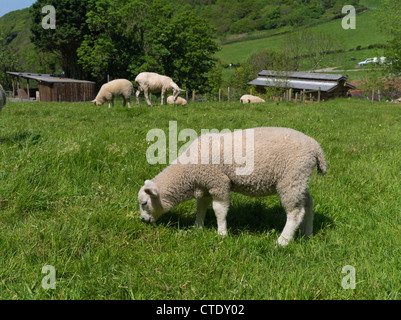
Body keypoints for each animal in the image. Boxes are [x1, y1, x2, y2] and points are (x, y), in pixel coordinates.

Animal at [138, 126, 324, 246]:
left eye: (144, 203)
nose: (143, 221)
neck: (188, 171)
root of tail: (316, 147)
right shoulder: (205, 184)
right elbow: (201, 207)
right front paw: (197, 228)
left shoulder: (218, 182)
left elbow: (219, 209)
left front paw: (221, 234)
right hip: (299, 180)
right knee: (308, 204)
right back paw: (307, 233)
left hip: (291, 179)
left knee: (295, 213)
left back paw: (282, 241)